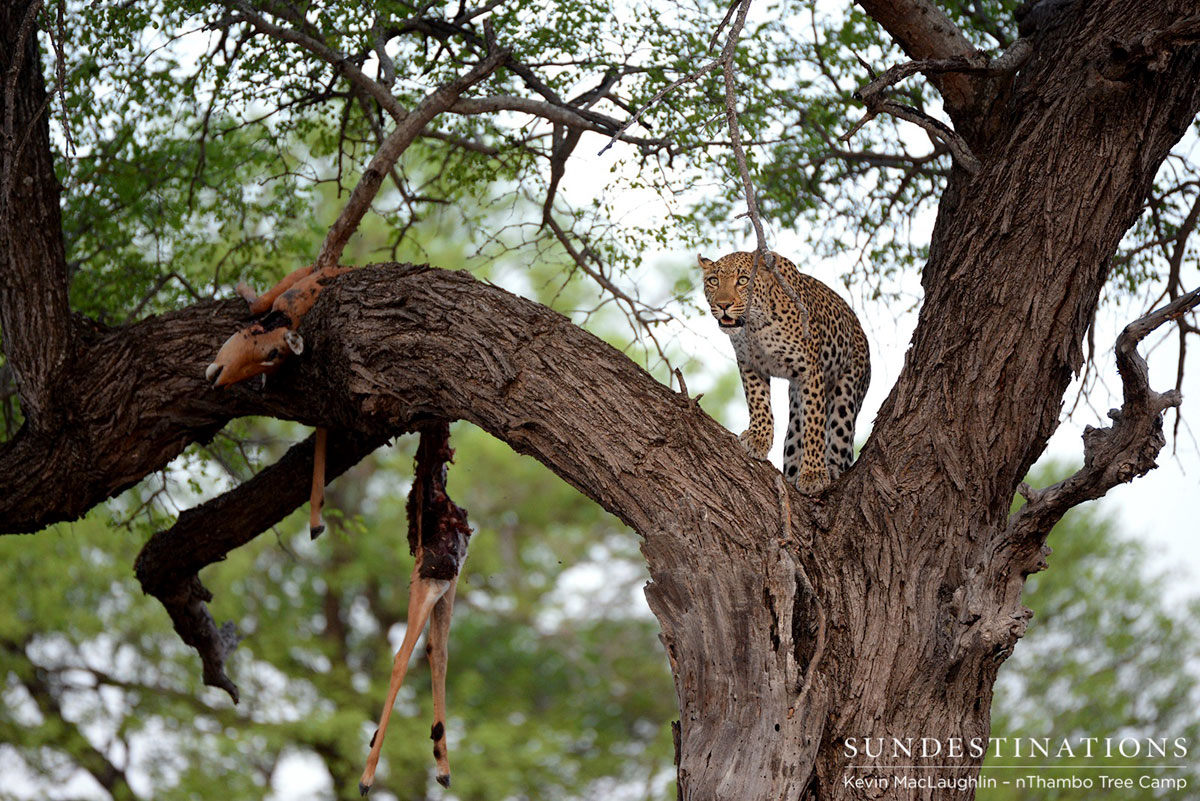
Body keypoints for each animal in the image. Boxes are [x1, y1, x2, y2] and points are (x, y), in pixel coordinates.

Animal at [698, 251, 870, 493]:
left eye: (743, 280)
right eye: (714, 281)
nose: (723, 304)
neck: (755, 325)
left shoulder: (810, 371)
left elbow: (815, 425)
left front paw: (814, 474)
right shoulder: (749, 363)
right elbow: (758, 402)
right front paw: (758, 438)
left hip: (846, 393)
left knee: (840, 437)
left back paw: (832, 469)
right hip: (796, 407)